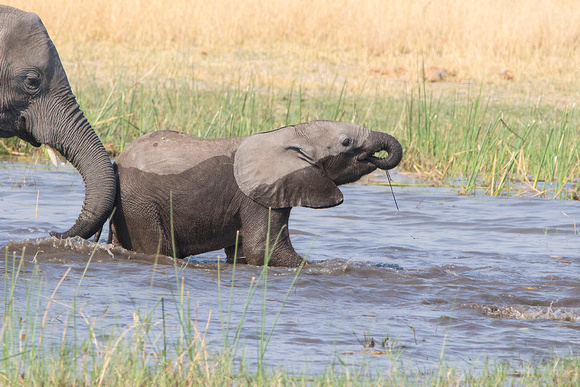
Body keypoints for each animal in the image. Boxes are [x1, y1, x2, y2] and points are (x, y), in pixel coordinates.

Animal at [110, 120, 404, 266]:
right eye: (346, 142)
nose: (376, 157)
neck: (287, 136)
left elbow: (242, 252)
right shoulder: (257, 197)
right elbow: (264, 250)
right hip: (141, 205)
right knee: (158, 249)